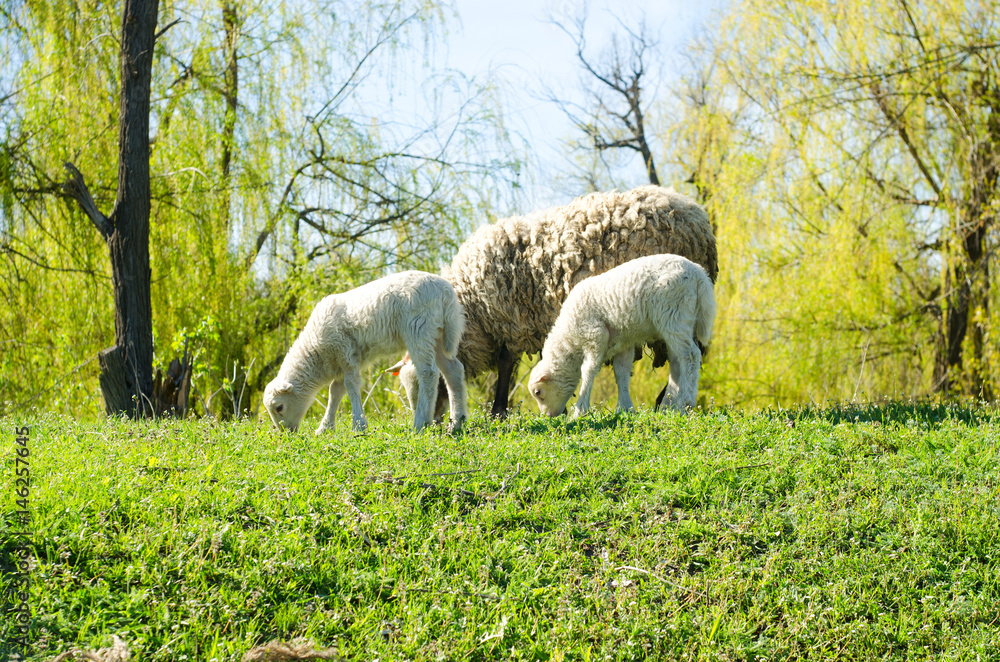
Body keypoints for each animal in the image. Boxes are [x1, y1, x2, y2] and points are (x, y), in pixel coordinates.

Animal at [263, 271, 467, 434]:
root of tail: (445, 292)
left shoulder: (344, 352)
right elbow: (335, 391)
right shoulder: (343, 361)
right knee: (453, 370)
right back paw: (457, 421)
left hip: (419, 328)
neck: (316, 349)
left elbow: (350, 385)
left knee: (428, 373)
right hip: (438, 334)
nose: (286, 434)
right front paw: (325, 428)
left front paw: (358, 424)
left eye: (279, 407)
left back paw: (420, 423)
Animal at [528, 254, 716, 418]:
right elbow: (621, 373)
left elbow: (588, 371)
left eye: (538, 392)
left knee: (690, 356)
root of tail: (698, 274)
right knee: (677, 362)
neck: (570, 340)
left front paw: (580, 411)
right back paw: (668, 406)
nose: (548, 416)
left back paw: (685, 402)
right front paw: (625, 408)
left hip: (674, 315)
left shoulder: (594, 335)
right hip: (680, 321)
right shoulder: (623, 342)